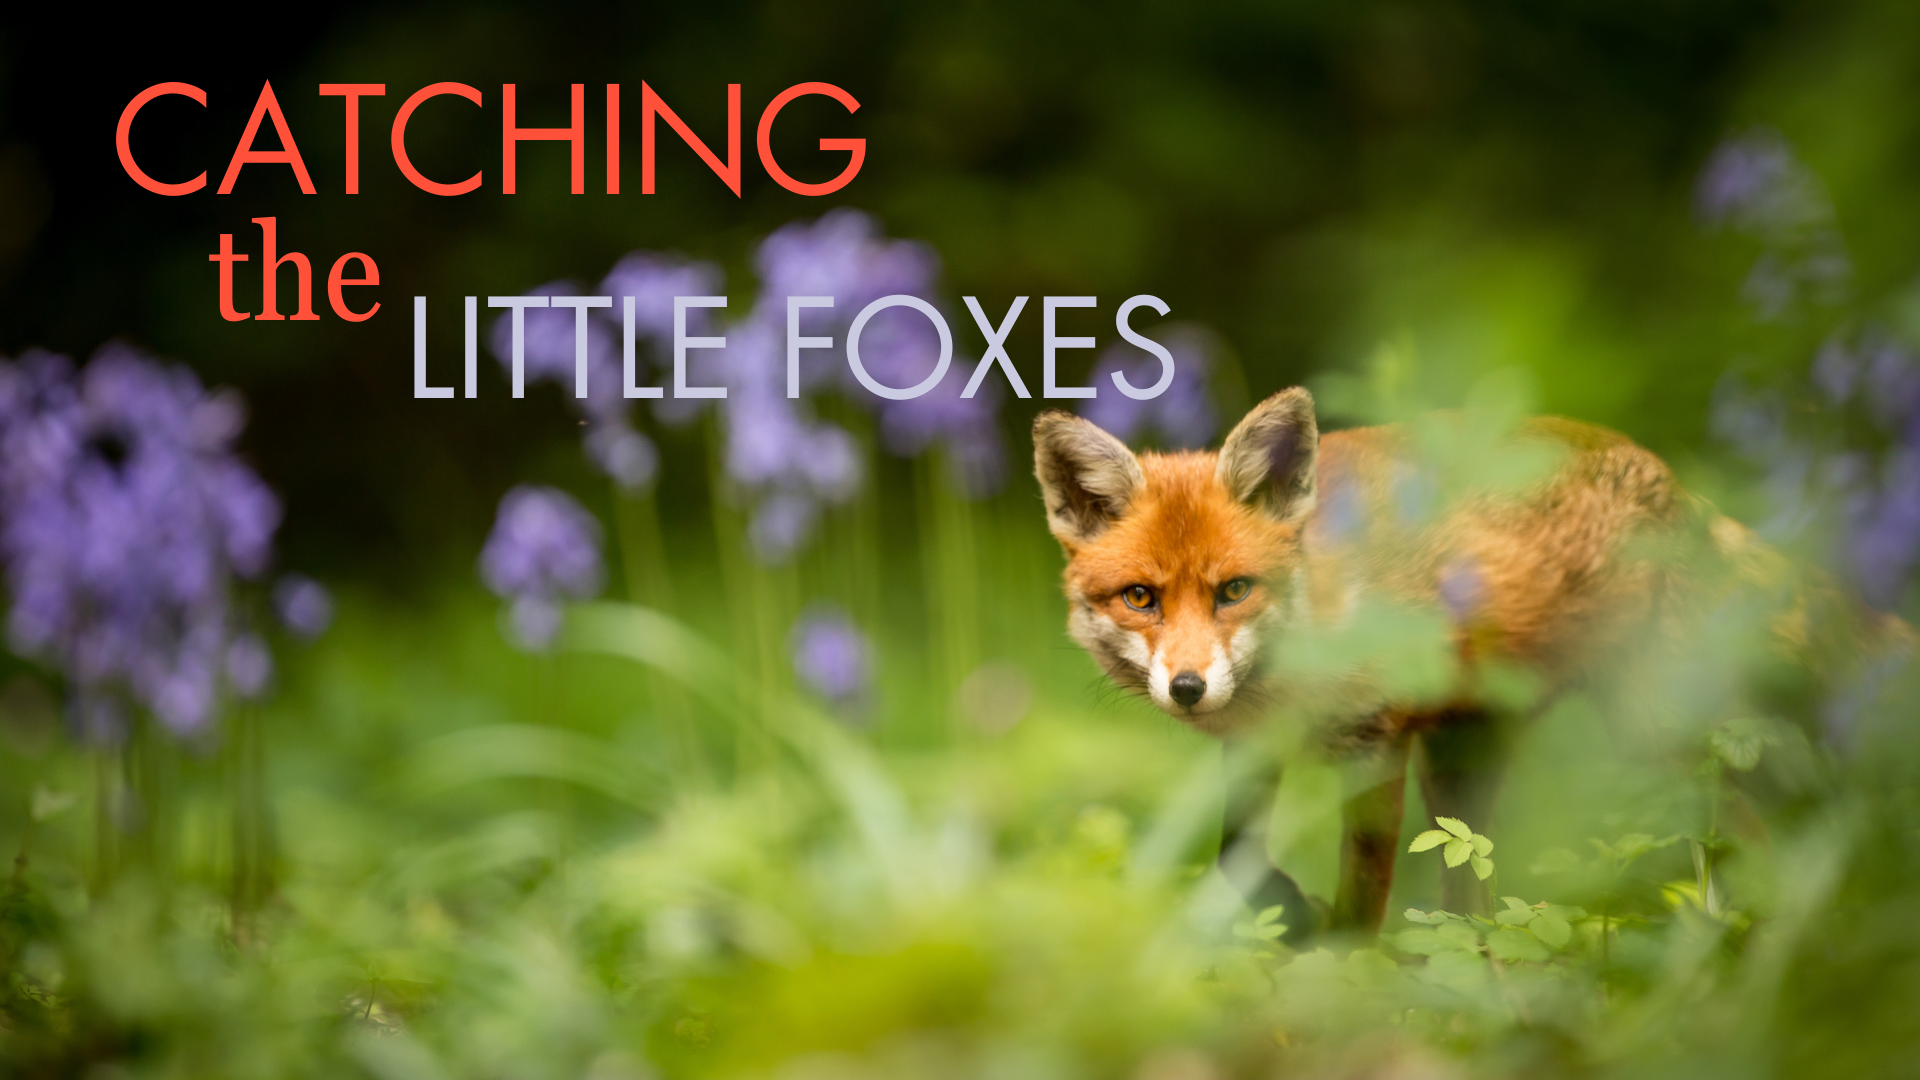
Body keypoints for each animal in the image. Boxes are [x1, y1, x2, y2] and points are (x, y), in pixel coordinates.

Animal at [1032, 387, 1892, 940]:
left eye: (1234, 590)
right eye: (1141, 597)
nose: (1188, 688)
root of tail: (1661, 473)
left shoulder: (1376, 746)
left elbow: (1361, 899)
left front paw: (1340, 957)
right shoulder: (1249, 752)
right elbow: (1230, 859)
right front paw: (1289, 910)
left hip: (1657, 734)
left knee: (1750, 837)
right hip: (1465, 766)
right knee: (1473, 897)